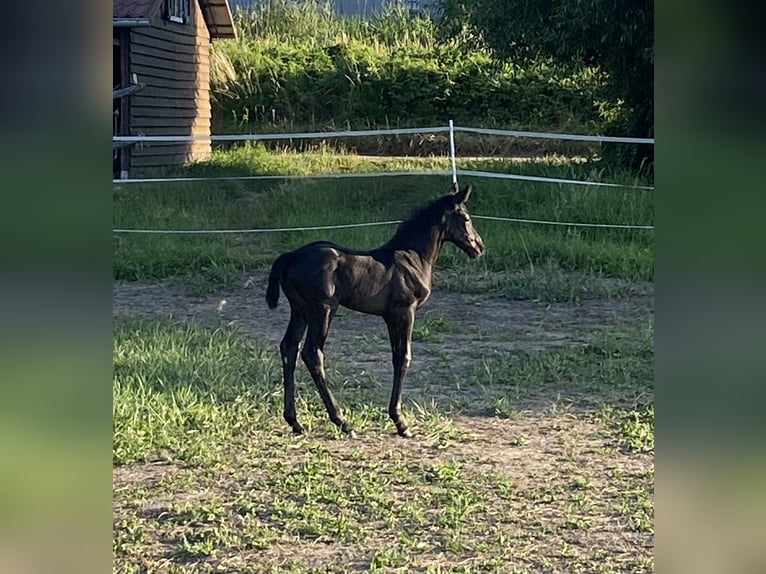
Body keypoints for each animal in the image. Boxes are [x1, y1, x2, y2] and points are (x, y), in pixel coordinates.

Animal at [268, 182, 486, 438]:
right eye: (466, 218)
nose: (479, 247)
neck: (412, 258)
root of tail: (291, 256)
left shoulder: (390, 317)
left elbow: (396, 357)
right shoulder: (405, 311)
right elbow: (404, 357)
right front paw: (401, 423)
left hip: (300, 311)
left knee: (289, 348)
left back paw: (295, 422)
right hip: (323, 310)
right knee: (313, 353)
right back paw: (343, 422)